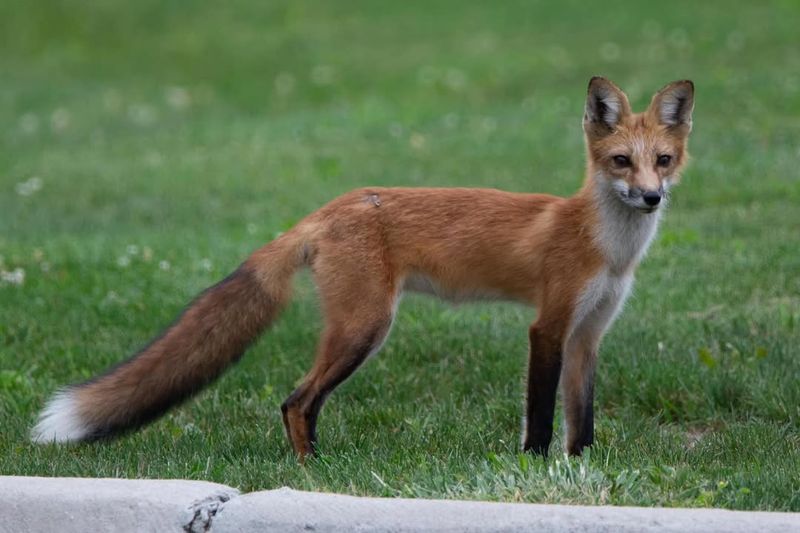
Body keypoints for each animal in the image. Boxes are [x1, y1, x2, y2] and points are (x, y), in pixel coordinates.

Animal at [32, 77, 694, 459]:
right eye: (620, 161)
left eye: (662, 160)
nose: (651, 197)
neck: (607, 248)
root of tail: (328, 208)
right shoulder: (549, 326)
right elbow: (540, 415)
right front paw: (534, 467)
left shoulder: (589, 334)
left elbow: (582, 419)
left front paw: (580, 469)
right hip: (364, 328)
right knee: (295, 400)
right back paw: (311, 471)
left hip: (362, 329)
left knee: (301, 401)